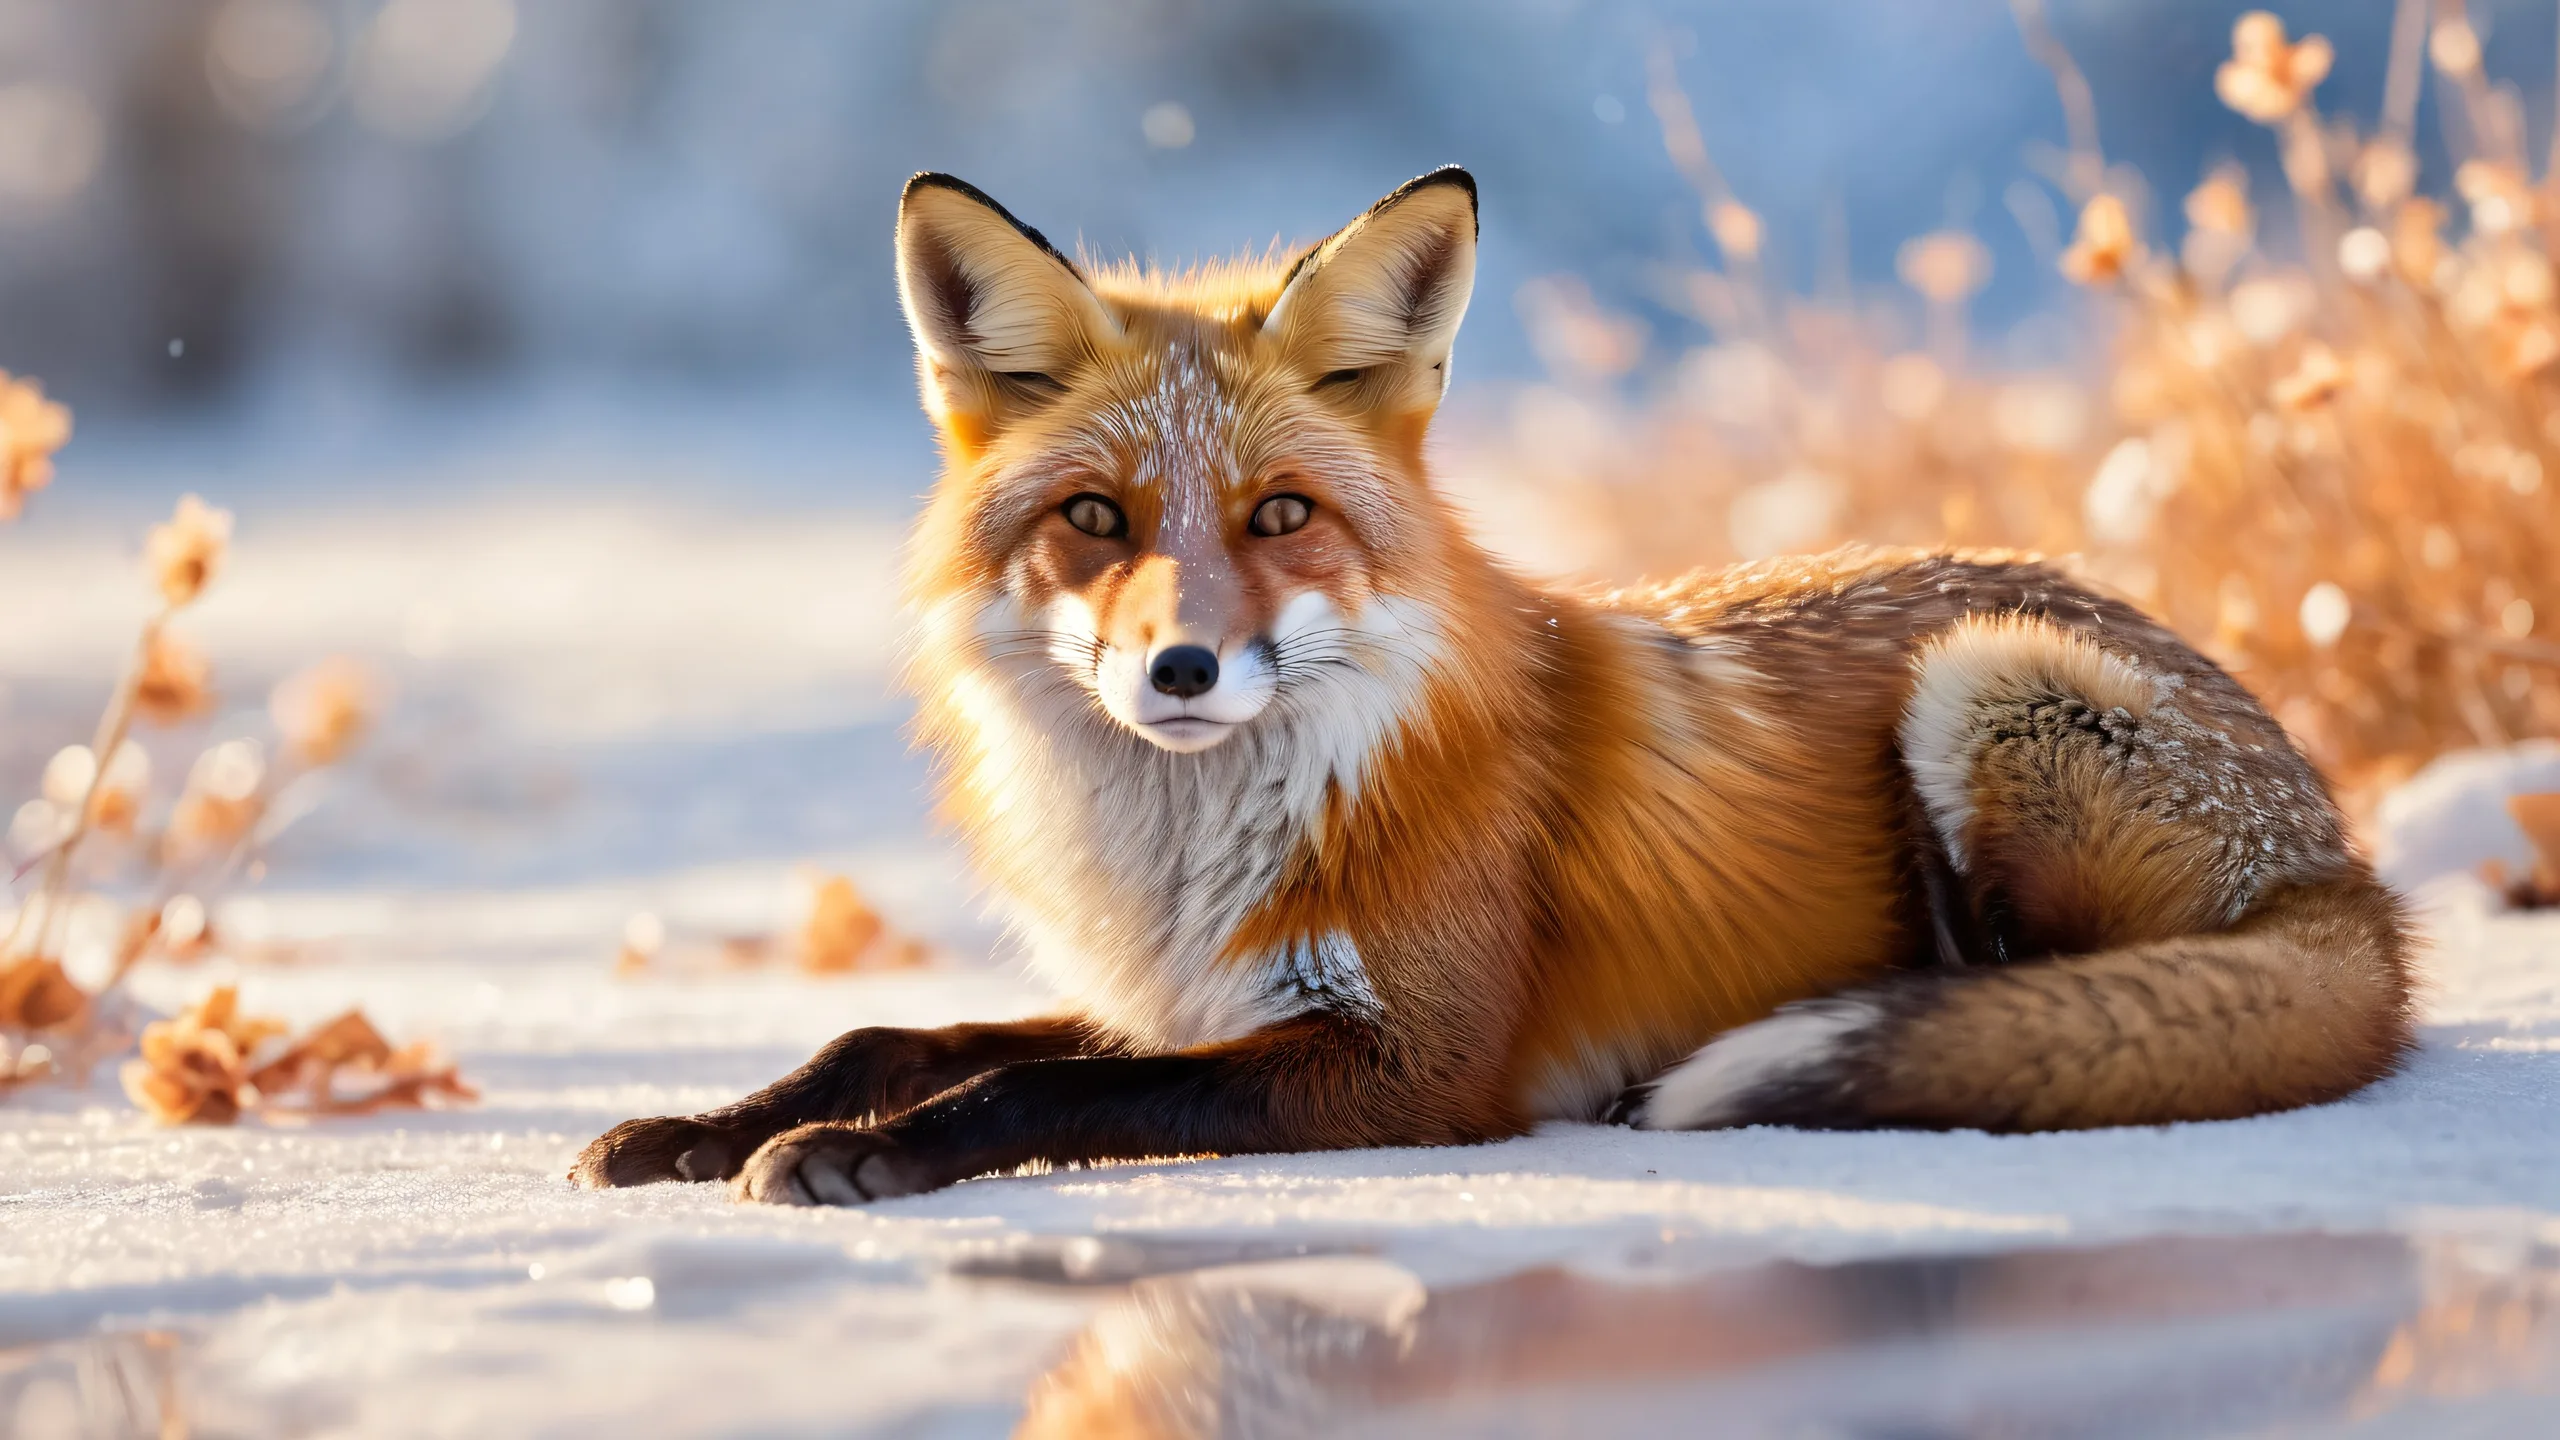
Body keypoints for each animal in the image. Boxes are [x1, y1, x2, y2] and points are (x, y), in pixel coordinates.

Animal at [572, 167, 2416, 1206]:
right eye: (1096, 519)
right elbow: (892, 1031)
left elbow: (1038, 1086)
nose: (1181, 665)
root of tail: (2356, 880)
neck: (1200, 839)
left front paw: (863, 1156)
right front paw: (704, 1123)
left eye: (1280, 517)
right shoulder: (1197, 993)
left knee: (2049, 1008)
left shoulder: (1414, 1067)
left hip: (1988, 686)